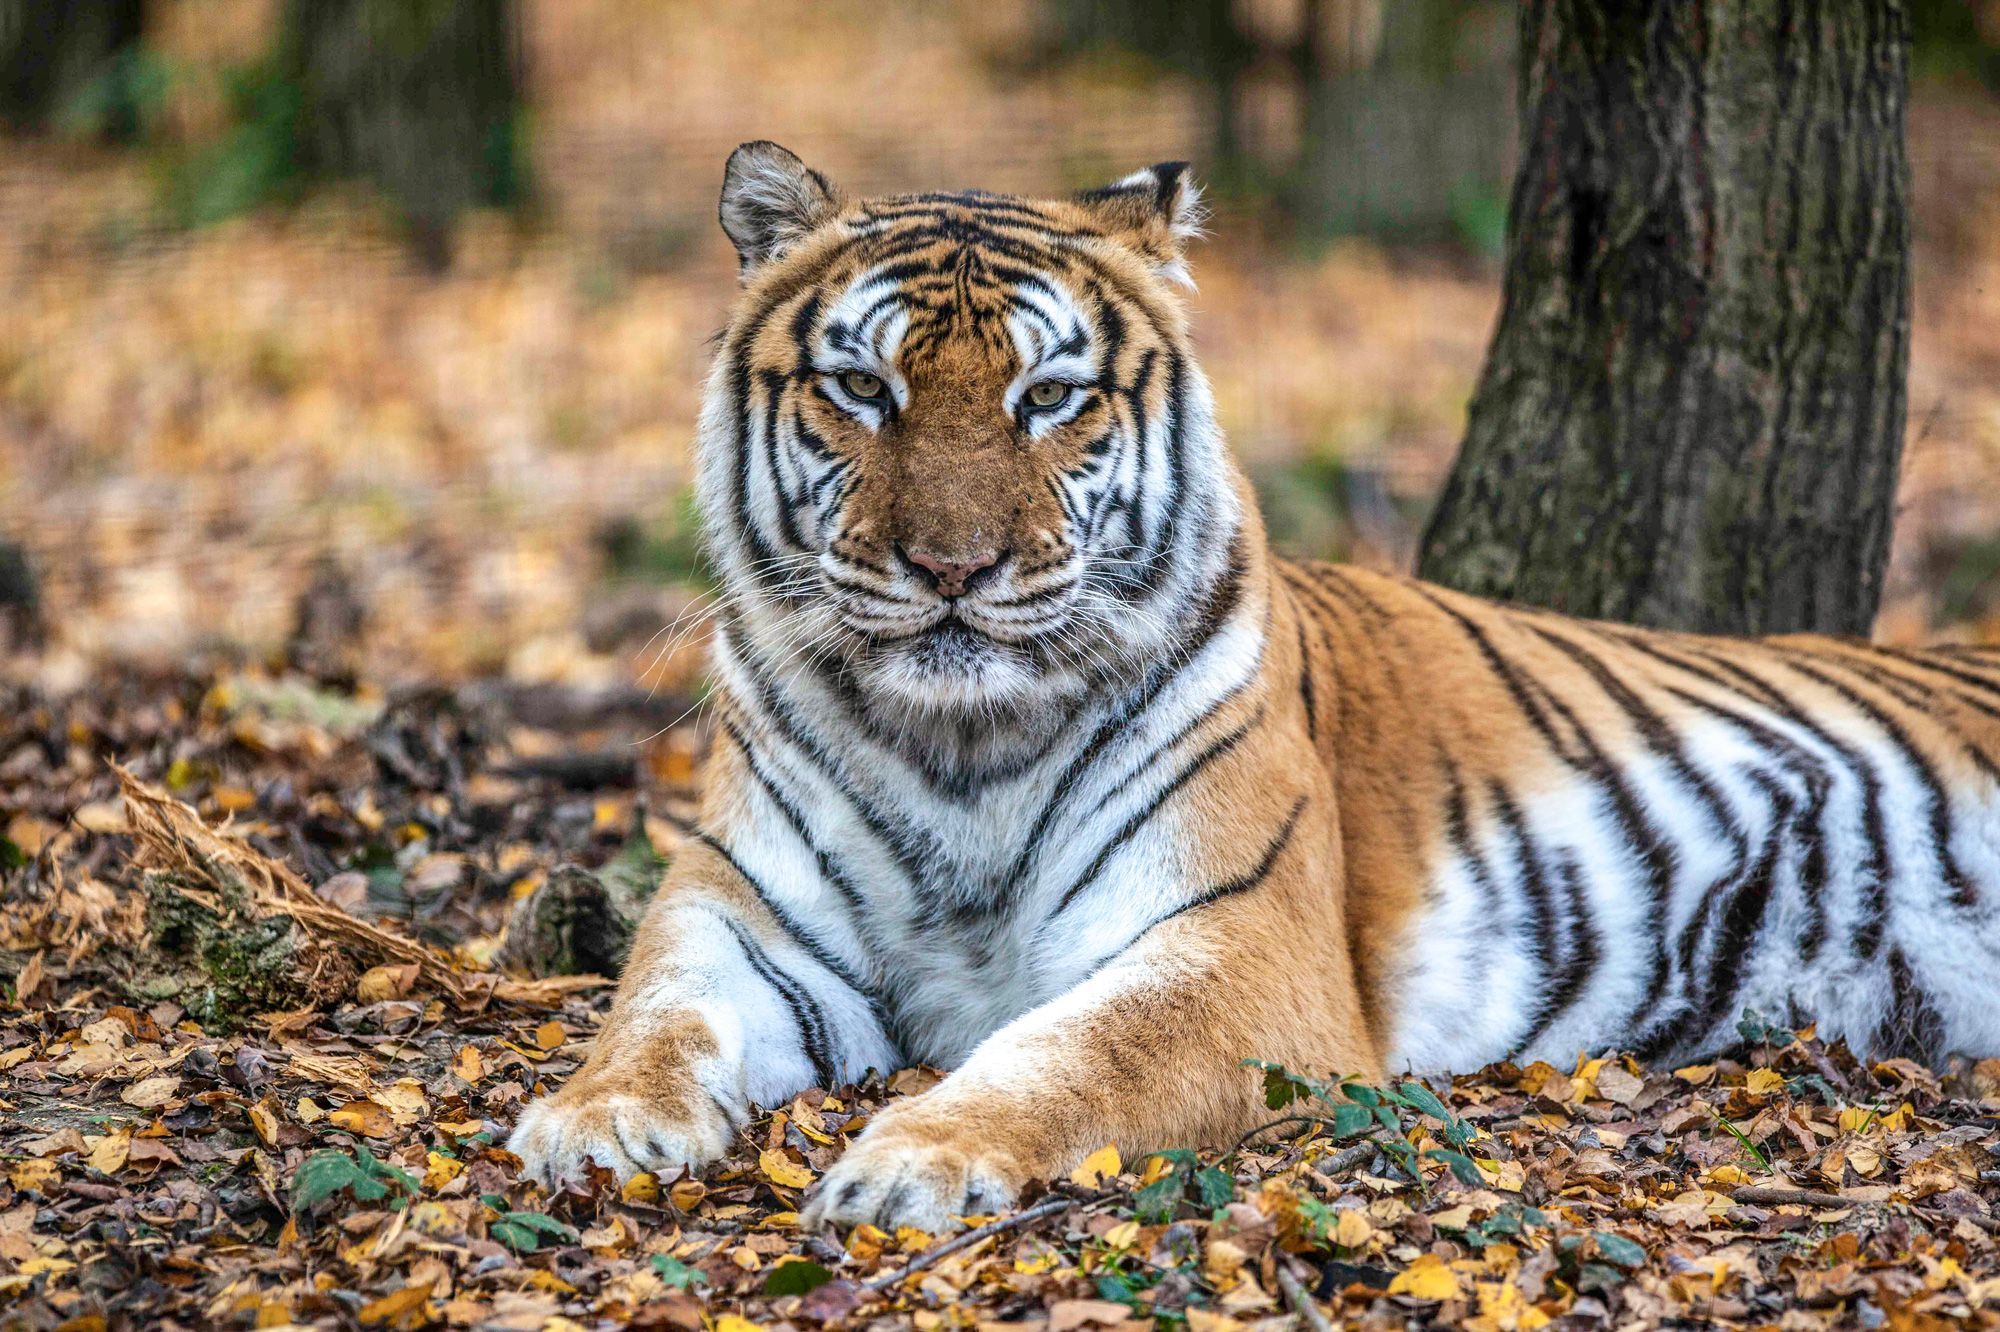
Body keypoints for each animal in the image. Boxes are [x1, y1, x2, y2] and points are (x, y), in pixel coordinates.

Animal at [512, 140, 2000, 1232]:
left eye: (1048, 399)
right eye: (862, 388)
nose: (952, 566)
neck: (961, 745)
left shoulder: (1237, 948)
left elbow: (1069, 1054)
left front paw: (915, 1158)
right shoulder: (742, 909)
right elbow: (654, 1011)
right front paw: (592, 1119)